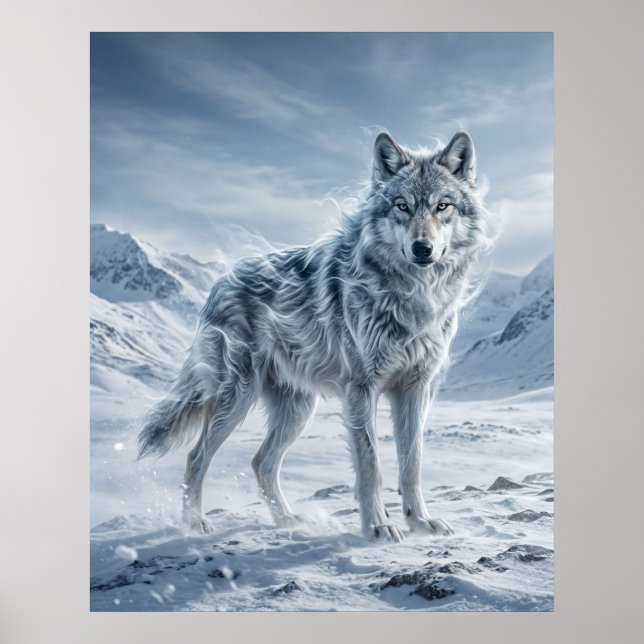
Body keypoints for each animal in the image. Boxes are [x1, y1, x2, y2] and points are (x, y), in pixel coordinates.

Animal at [138, 131, 492, 542]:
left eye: (442, 206)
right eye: (402, 206)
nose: (423, 249)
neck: (412, 297)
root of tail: (221, 282)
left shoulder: (416, 388)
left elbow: (412, 463)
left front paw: (419, 521)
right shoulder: (361, 388)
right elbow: (371, 464)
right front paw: (378, 526)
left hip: (298, 409)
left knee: (261, 462)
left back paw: (286, 520)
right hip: (237, 398)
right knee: (197, 456)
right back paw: (194, 523)